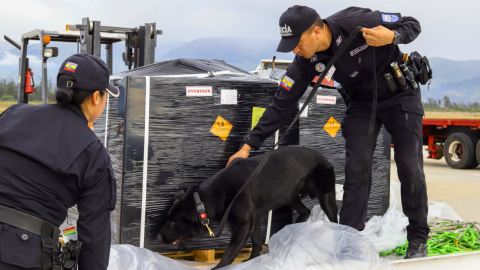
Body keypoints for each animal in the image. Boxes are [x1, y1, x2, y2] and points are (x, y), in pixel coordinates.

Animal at [158, 147, 338, 268]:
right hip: (288, 195)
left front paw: (219, 267)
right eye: (168, 219)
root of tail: (322, 156)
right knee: (305, 211)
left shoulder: (244, 224)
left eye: (173, 222)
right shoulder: (253, 217)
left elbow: (229, 253)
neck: (206, 200)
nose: (158, 238)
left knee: (334, 219)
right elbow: (257, 241)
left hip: (325, 197)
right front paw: (252, 260)